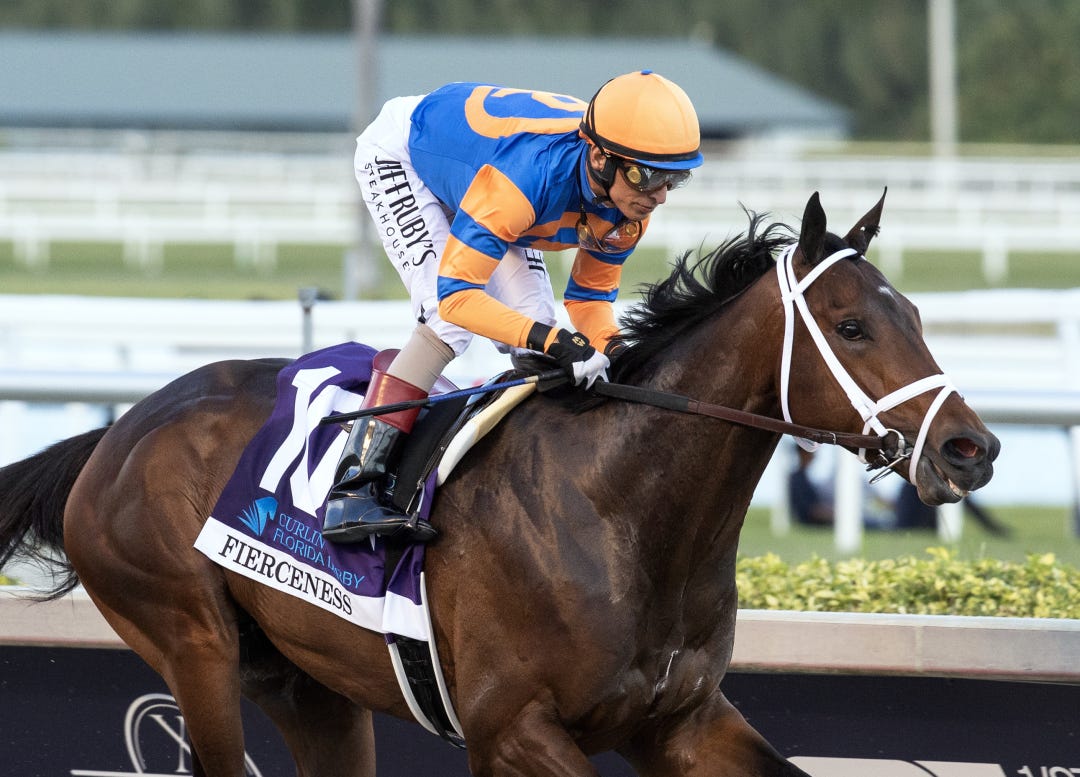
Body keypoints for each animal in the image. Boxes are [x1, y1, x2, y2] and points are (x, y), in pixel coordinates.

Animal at [0, 191, 998, 777]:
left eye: (913, 313)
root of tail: (118, 431)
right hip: (191, 642)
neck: (625, 512)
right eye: (852, 325)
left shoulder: (680, 719)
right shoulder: (512, 728)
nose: (970, 448)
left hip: (306, 684)